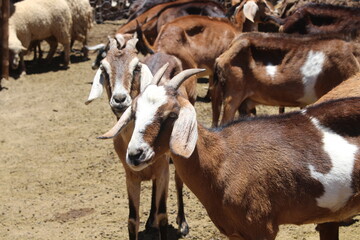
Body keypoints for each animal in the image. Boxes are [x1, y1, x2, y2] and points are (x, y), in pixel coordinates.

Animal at [85, 35, 191, 238]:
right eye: (104, 67)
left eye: (136, 67)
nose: (119, 100)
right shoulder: (131, 176)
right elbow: (132, 219)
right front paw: (147, 220)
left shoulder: (163, 170)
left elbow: (163, 214)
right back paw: (150, 220)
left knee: (179, 181)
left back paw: (182, 223)